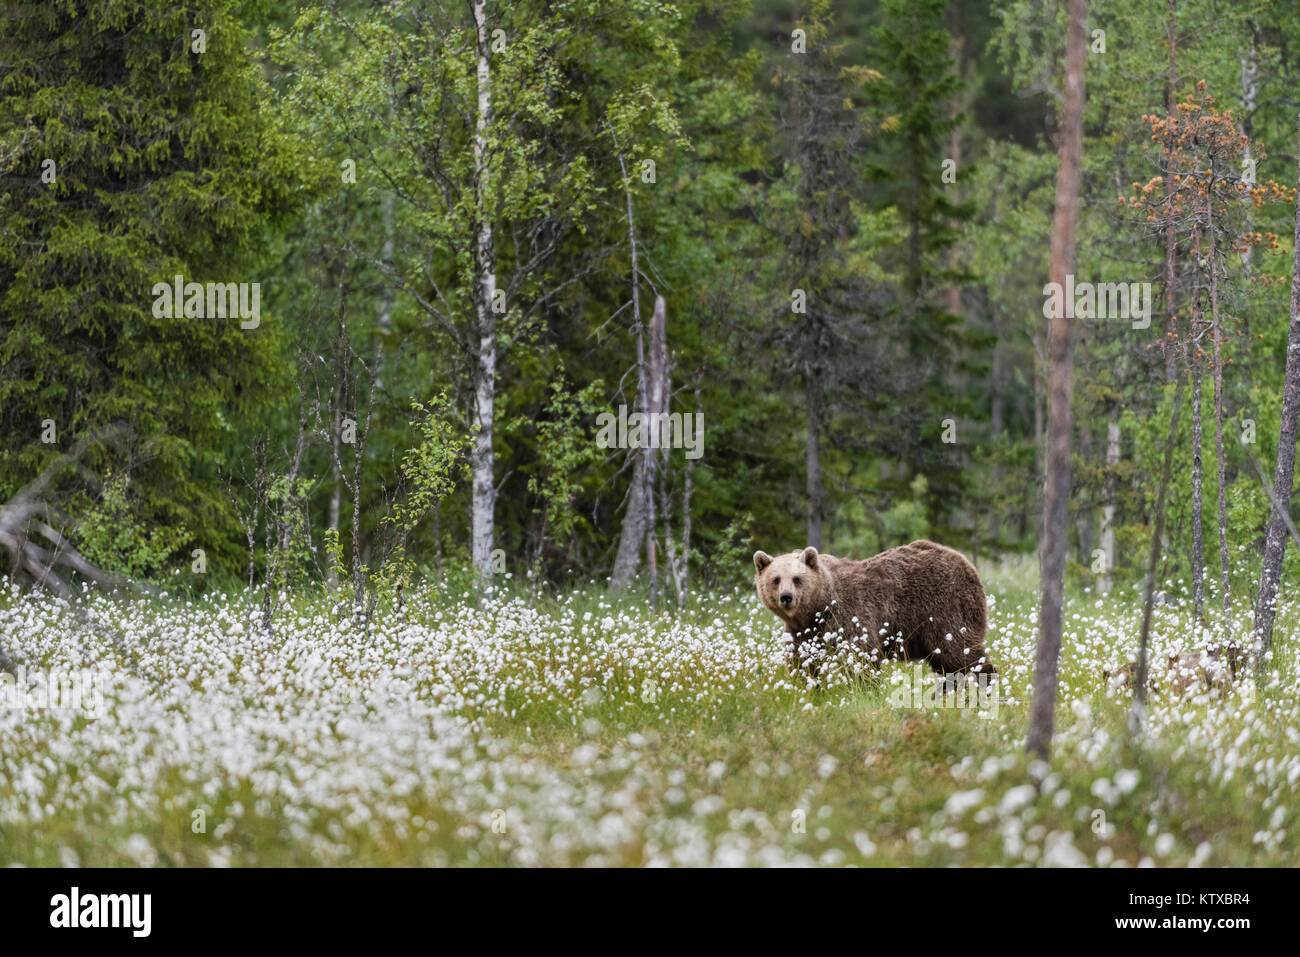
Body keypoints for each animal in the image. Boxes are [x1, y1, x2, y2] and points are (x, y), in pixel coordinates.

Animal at [754, 540, 993, 676]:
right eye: (776, 579)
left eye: (797, 579)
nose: (786, 597)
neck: (817, 610)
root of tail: (964, 560)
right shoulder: (801, 633)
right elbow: (802, 662)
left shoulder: (849, 615)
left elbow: (859, 655)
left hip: (945, 608)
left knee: (958, 651)